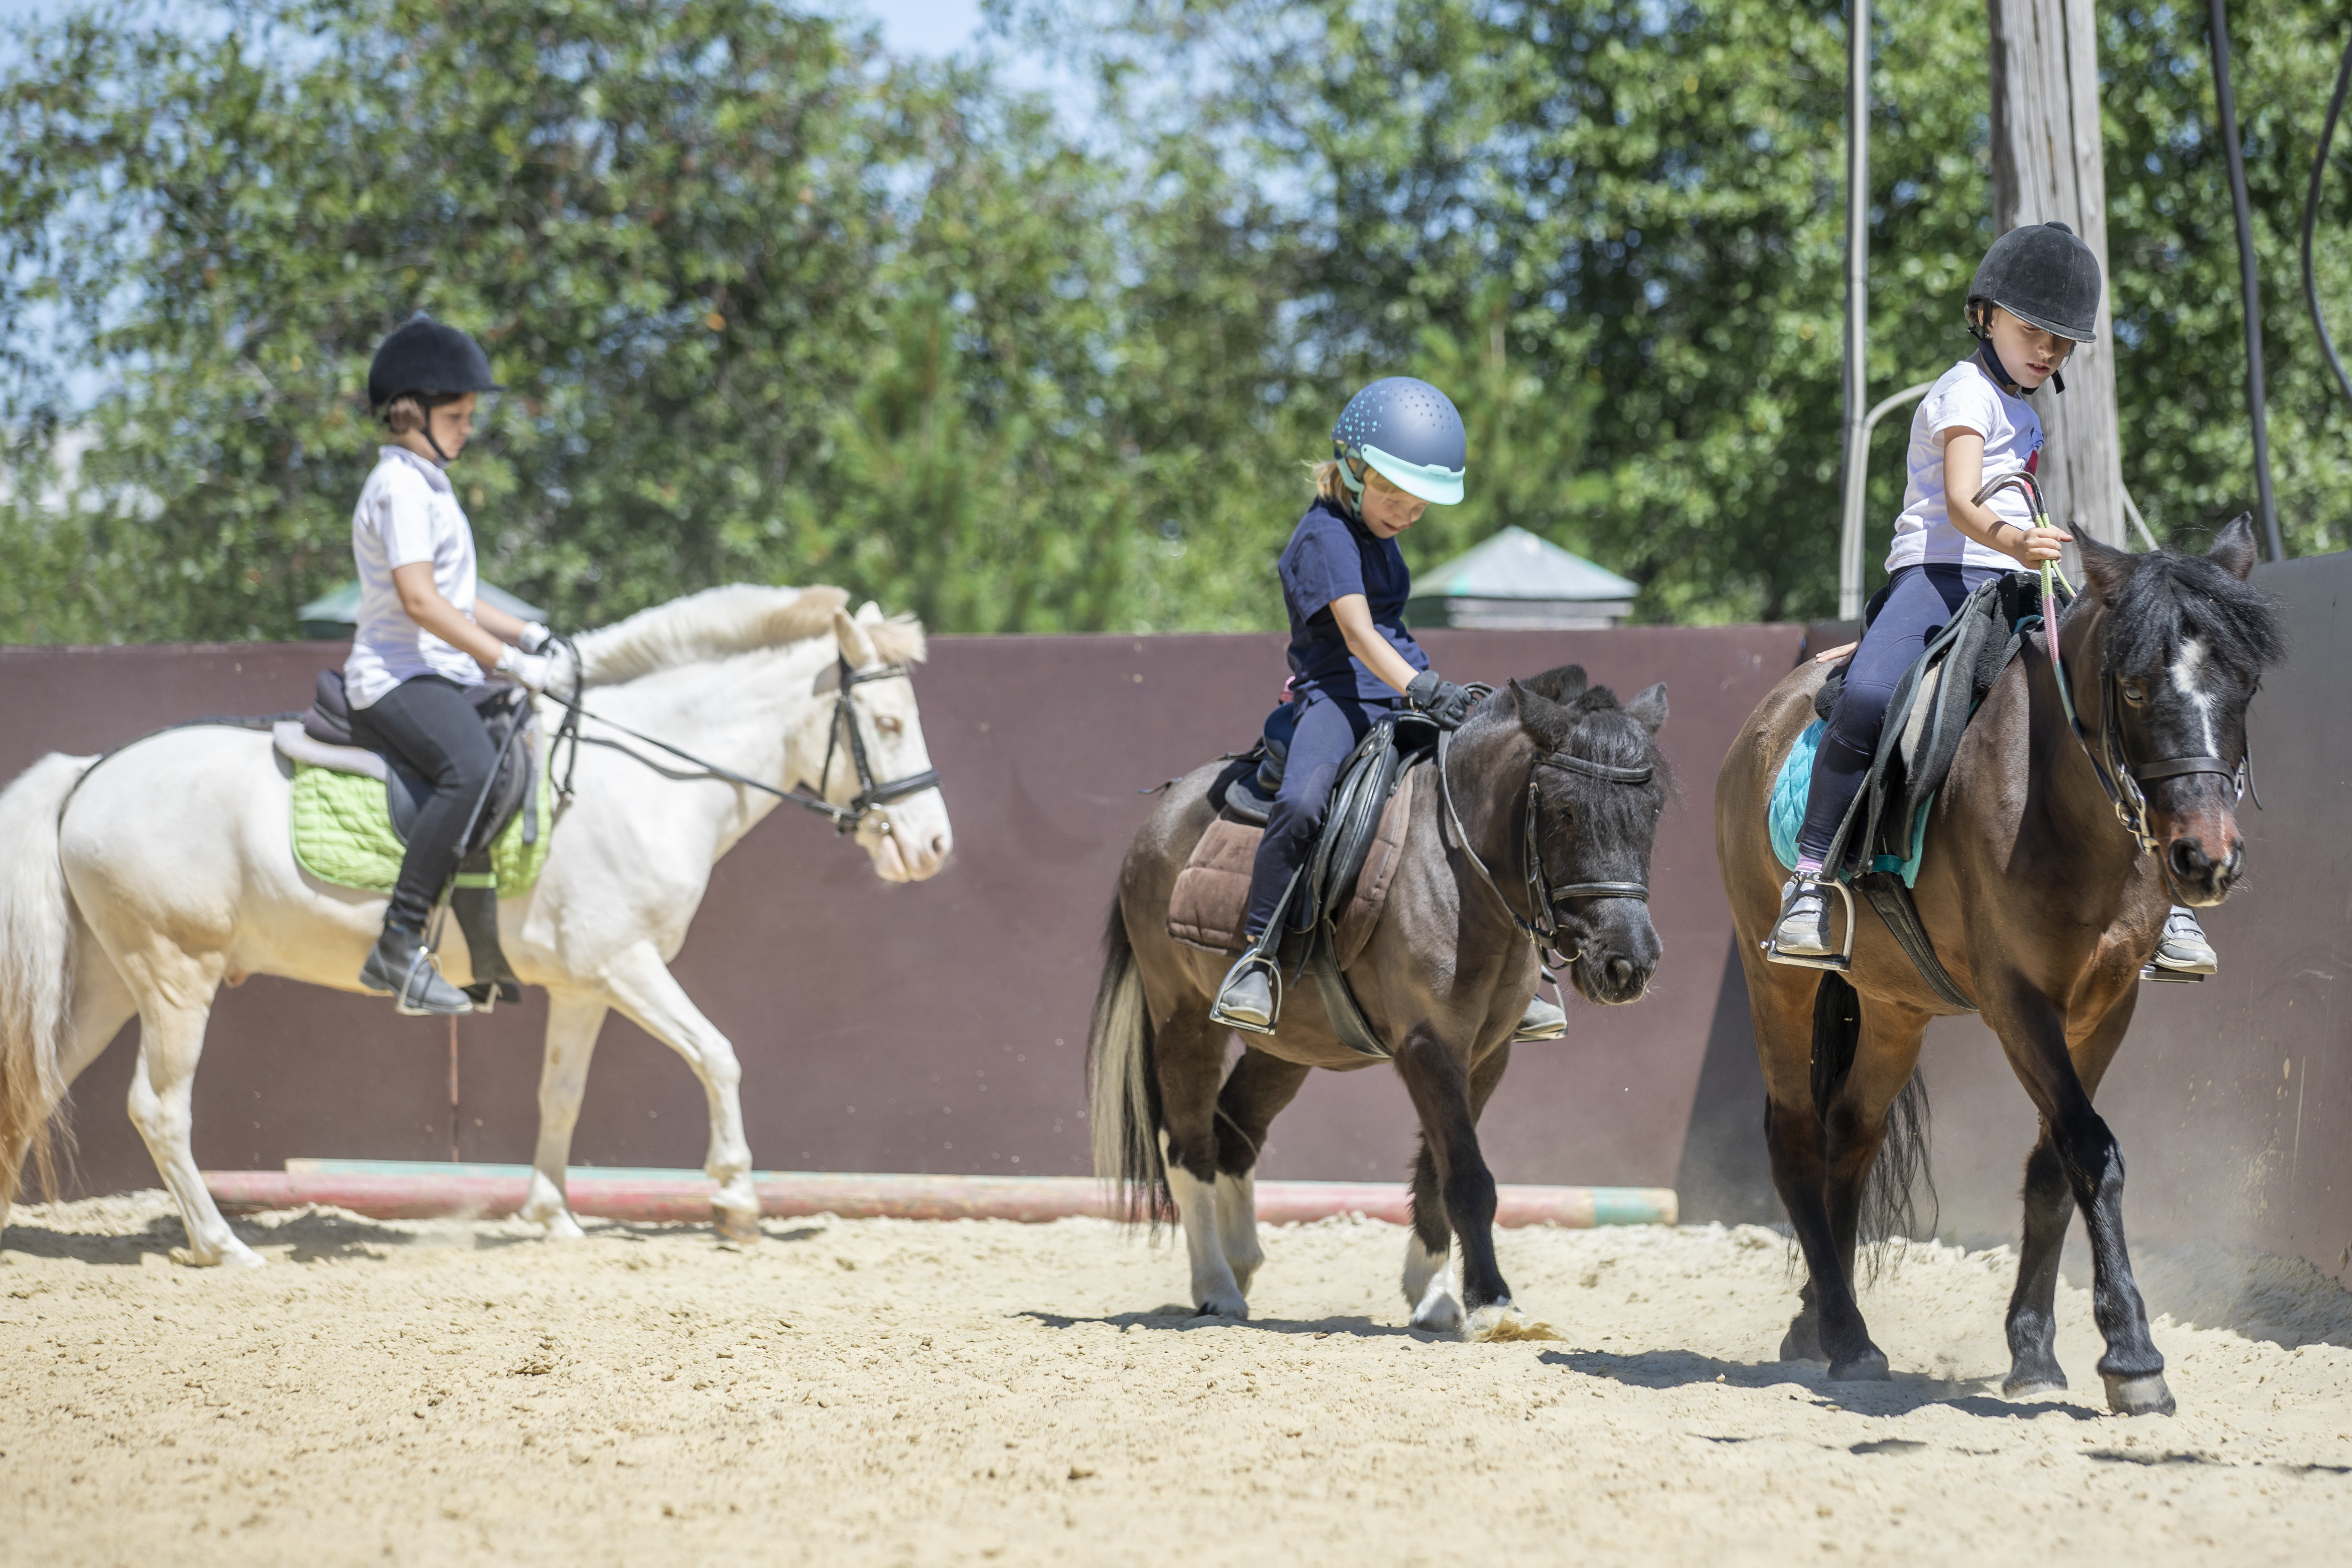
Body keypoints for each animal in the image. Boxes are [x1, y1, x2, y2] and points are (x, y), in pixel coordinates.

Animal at [4, 585, 955, 1260]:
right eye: (886, 722)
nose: (934, 846)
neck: (642, 778)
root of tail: (89, 771)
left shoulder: (587, 984)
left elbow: (560, 1094)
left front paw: (552, 1215)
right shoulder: (626, 963)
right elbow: (718, 1055)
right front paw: (735, 1201)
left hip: (108, 983)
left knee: (36, 1085)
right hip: (176, 974)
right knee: (159, 1108)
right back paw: (222, 1245)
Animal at [1086, 668, 1674, 1344]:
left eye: (1652, 811)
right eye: (1566, 811)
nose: (1629, 964)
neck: (1460, 875)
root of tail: (1164, 810)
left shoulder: (1486, 1054)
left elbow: (1437, 1173)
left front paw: (1434, 1296)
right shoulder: (1427, 1045)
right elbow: (1468, 1175)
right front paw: (1492, 1302)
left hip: (1288, 1044)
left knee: (1236, 1129)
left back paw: (1241, 1264)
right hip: (1182, 1018)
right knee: (1190, 1147)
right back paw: (1216, 1287)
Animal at [1712, 522, 2276, 1420]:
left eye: (2244, 686)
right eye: (2134, 688)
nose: (2204, 860)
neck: (2059, 801)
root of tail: (1764, 720)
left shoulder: (2104, 1006)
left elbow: (2052, 1164)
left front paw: (2033, 1351)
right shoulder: (2018, 1003)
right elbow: (2092, 1151)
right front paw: (2130, 1354)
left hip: (1893, 1009)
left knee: (1851, 1134)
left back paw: (1817, 1327)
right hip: (1779, 984)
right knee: (1797, 1137)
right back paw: (1845, 1335)